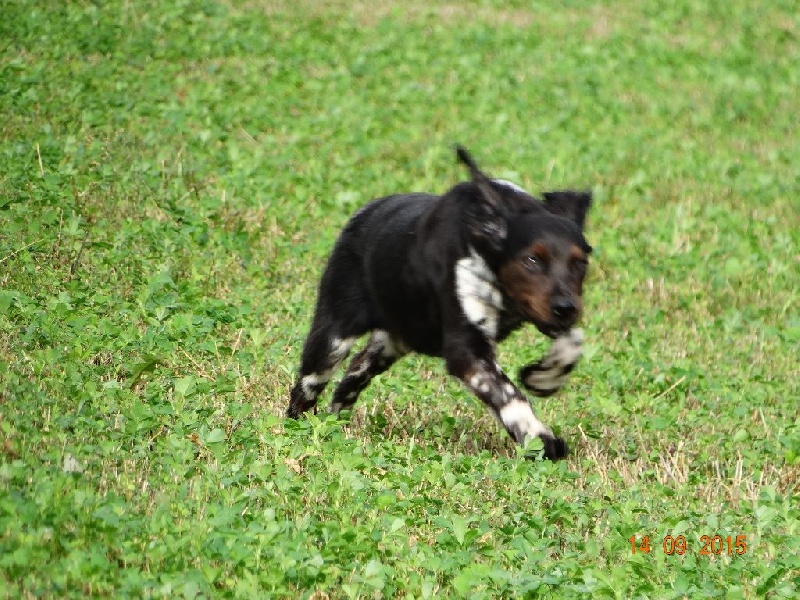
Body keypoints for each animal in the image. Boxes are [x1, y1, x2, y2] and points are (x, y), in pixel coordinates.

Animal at [284, 146, 592, 460]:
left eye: (580, 263)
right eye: (531, 260)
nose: (566, 308)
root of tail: (362, 213)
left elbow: (574, 340)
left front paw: (544, 376)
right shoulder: (466, 348)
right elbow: (506, 392)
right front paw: (539, 438)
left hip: (393, 338)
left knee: (355, 371)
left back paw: (338, 421)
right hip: (333, 336)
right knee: (307, 387)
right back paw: (298, 425)